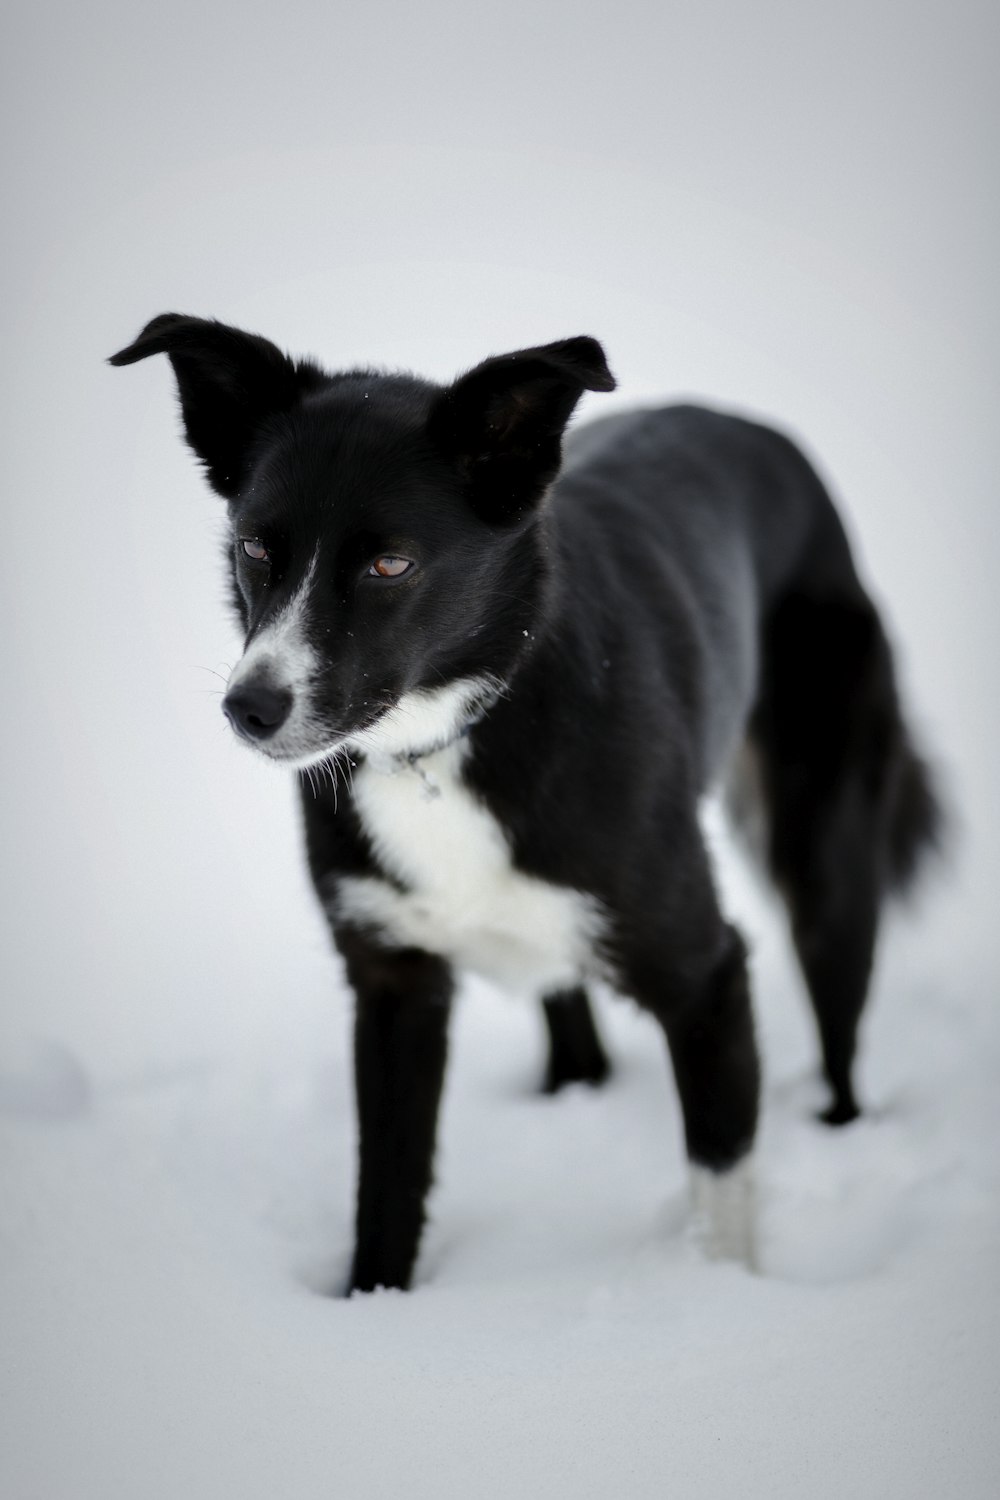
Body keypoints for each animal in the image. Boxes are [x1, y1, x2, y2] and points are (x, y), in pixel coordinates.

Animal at [109, 316, 941, 1290]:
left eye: (390, 563)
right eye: (254, 549)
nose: (251, 707)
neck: (442, 743)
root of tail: (759, 432)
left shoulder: (706, 975)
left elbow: (721, 1192)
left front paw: (721, 1295)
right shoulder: (393, 982)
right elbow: (386, 1190)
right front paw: (373, 1303)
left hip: (825, 850)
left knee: (840, 1025)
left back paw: (839, 1124)